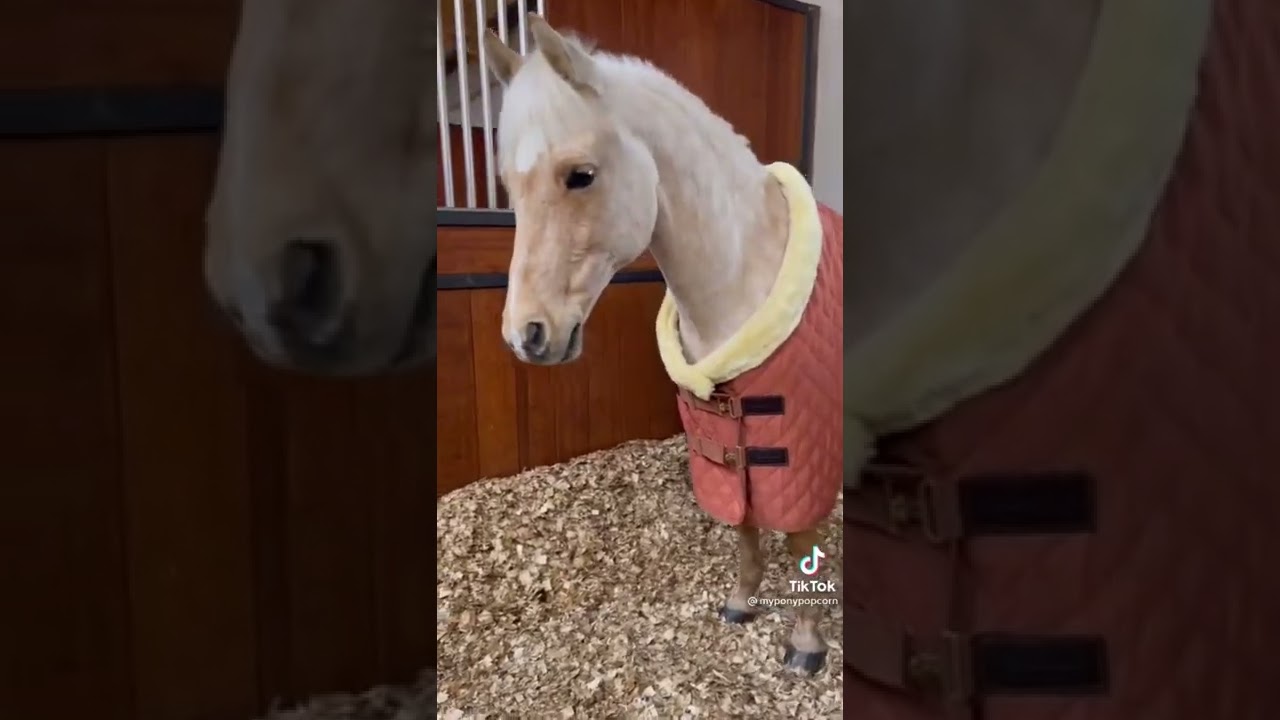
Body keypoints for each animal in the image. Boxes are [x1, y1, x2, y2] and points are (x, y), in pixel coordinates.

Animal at [481, 14, 843, 675]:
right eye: (509, 188)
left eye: (581, 175)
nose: (527, 335)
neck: (746, 273)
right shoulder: (726, 444)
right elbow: (744, 523)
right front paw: (742, 601)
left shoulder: (802, 442)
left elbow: (801, 535)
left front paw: (805, 643)